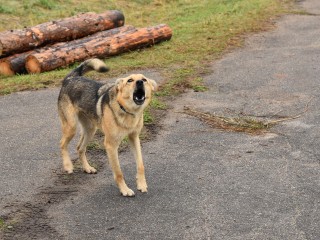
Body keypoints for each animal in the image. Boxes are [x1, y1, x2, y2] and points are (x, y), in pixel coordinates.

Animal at [58, 58, 158, 197]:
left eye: (144, 79)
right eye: (130, 80)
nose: (139, 82)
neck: (126, 110)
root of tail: (70, 78)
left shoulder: (134, 138)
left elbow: (140, 165)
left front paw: (141, 184)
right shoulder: (111, 145)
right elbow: (118, 172)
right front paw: (125, 190)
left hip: (90, 130)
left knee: (80, 148)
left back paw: (87, 168)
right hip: (71, 127)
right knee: (62, 143)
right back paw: (68, 166)